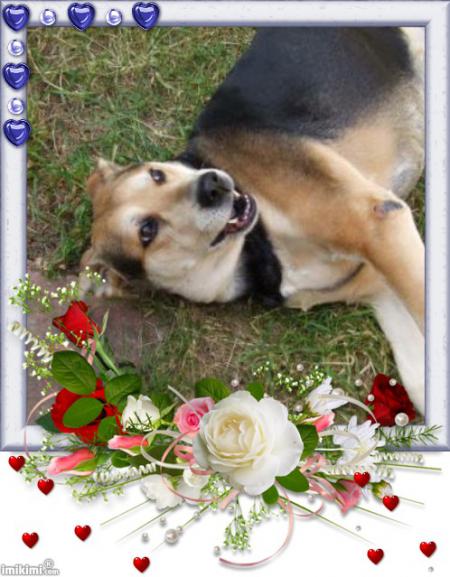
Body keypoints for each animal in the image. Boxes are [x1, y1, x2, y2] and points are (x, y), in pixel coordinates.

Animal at [81, 28, 425, 413]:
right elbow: (418, 377)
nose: (213, 184)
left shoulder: (376, 223)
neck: (260, 246)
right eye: (147, 232)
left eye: (157, 174)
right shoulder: (378, 283)